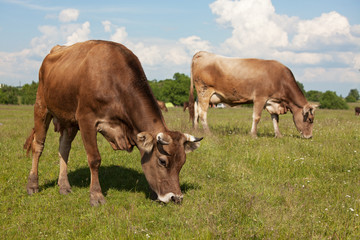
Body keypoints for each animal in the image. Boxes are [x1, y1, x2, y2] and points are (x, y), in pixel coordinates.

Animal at [23, 40, 201, 205]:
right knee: (38, 146)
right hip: (41, 107)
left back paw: (64, 186)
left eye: (182, 162)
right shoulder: (86, 119)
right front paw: (96, 195)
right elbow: (94, 159)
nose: (176, 197)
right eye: (162, 161)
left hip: (68, 120)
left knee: (64, 149)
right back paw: (32, 185)